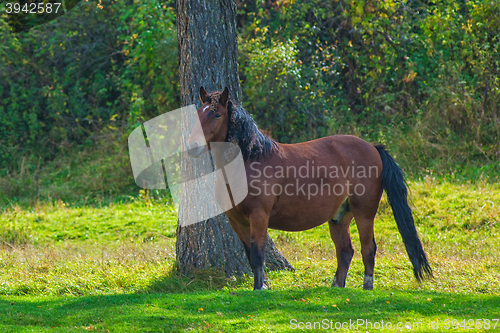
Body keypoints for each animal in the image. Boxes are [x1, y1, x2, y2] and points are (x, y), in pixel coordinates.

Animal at [186, 87, 432, 290]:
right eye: (198, 113)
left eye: (216, 114)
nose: (191, 146)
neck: (251, 159)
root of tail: (372, 147)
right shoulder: (237, 221)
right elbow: (250, 256)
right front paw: (261, 285)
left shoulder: (259, 216)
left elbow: (258, 255)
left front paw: (260, 289)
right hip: (339, 217)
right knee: (345, 251)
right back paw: (337, 287)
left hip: (364, 213)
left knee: (368, 249)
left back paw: (367, 287)